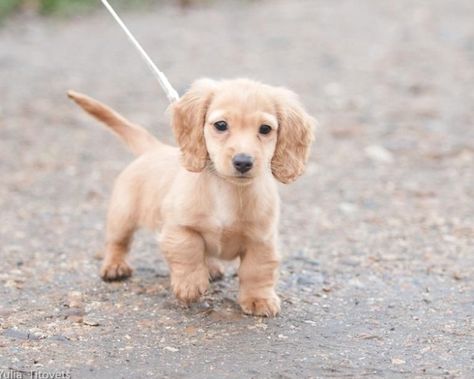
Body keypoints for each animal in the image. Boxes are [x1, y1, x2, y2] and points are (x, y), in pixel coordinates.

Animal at [68, 79, 314, 318]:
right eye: (221, 125)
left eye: (265, 129)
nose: (243, 162)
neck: (227, 189)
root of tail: (154, 148)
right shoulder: (179, 227)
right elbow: (189, 248)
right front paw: (190, 285)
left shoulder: (261, 240)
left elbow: (257, 271)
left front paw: (258, 299)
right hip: (122, 215)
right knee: (118, 242)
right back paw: (115, 266)